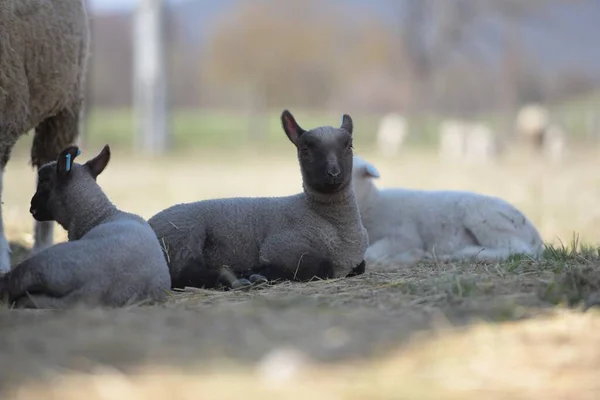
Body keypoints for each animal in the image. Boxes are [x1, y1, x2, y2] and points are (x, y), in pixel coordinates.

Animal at [148, 111, 368, 290]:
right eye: (306, 149)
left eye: (349, 146)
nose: (333, 173)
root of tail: (150, 221)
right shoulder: (281, 246)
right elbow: (322, 265)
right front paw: (259, 272)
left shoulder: (355, 260)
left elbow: (361, 266)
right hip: (184, 235)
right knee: (182, 273)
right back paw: (238, 279)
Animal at [352, 155, 544, 268]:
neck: (372, 204)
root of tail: (535, 236)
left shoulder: (405, 234)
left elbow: (372, 254)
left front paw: (411, 256)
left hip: (483, 218)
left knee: (518, 249)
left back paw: (463, 254)